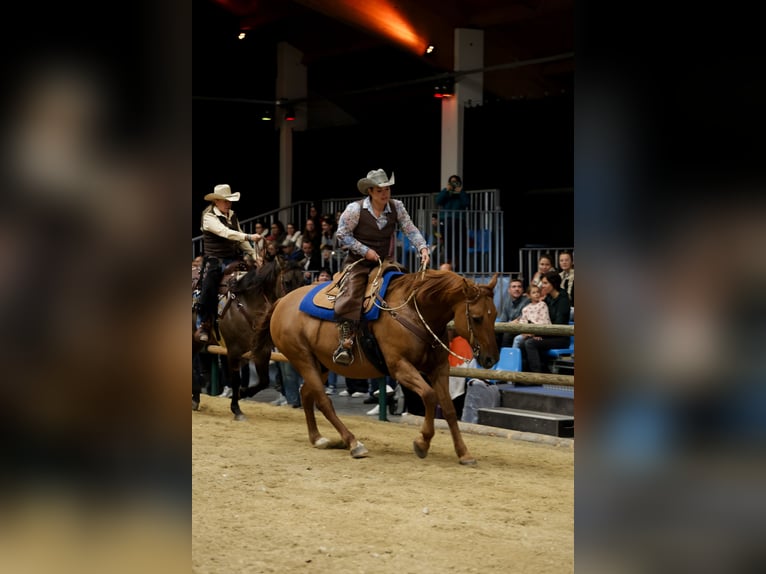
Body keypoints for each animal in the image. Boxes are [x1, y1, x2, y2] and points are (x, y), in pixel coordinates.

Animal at [193, 257, 306, 419]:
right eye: (287, 282)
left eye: (303, 282)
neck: (247, 305)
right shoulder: (233, 351)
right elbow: (235, 380)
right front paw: (236, 408)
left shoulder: (261, 351)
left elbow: (264, 381)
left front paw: (243, 393)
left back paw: (195, 398)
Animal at [253, 267, 499, 464]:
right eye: (477, 317)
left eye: (494, 314)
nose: (491, 359)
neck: (414, 312)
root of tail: (282, 302)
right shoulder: (399, 367)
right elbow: (429, 396)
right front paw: (422, 442)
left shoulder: (439, 369)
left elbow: (448, 409)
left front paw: (464, 453)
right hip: (302, 358)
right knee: (323, 401)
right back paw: (353, 443)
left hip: (320, 364)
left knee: (306, 394)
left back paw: (319, 438)